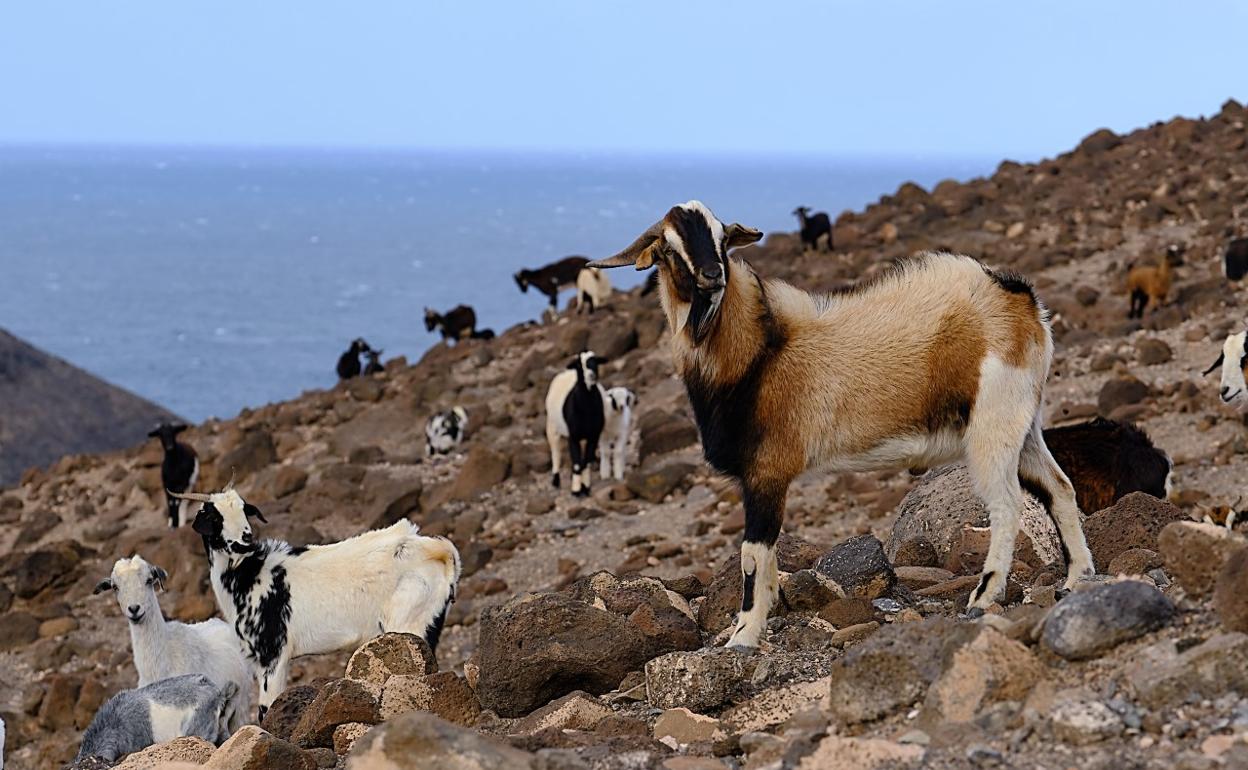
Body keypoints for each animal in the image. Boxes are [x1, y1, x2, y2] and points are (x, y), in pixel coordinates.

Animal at [174, 485, 460, 720]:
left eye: (245, 510)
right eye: (214, 517)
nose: (245, 538)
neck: (248, 572)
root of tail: (439, 553)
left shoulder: (273, 654)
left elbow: (267, 709)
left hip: (410, 621)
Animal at [545, 351, 608, 497]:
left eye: (596, 361)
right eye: (579, 364)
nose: (591, 375)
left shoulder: (593, 436)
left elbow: (586, 462)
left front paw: (585, 487)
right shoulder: (573, 436)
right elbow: (577, 464)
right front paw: (576, 490)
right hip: (552, 427)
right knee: (555, 452)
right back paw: (556, 480)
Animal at [589, 201, 1093, 648]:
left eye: (720, 239)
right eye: (669, 247)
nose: (713, 276)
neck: (757, 353)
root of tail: (1018, 299)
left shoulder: (767, 474)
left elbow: (752, 556)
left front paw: (743, 637)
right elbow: (767, 560)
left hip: (993, 427)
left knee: (1007, 504)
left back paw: (984, 596)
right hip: (1024, 426)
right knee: (1059, 488)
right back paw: (1077, 578)